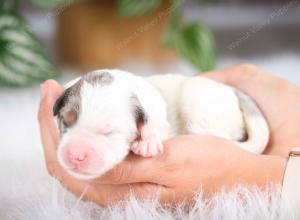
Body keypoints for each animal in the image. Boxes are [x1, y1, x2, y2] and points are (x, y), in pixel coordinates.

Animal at [54, 69, 270, 180]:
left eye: (109, 132)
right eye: (65, 121)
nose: (76, 155)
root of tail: (232, 91)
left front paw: (147, 142)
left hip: (197, 99)